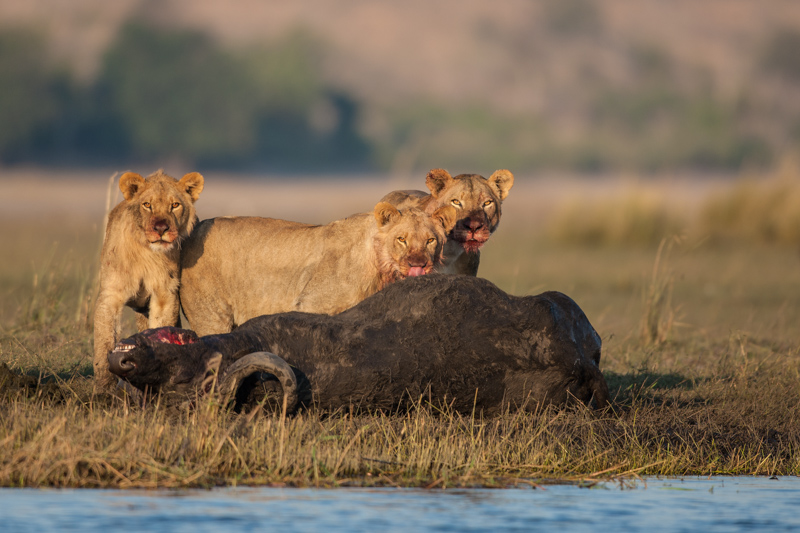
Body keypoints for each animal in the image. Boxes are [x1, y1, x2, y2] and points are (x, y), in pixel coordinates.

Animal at [93, 169, 204, 390]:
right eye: (147, 205)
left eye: (175, 205)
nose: (161, 228)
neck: (147, 253)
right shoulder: (111, 294)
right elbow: (104, 339)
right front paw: (103, 386)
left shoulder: (165, 294)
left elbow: (159, 329)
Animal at [179, 202, 457, 336]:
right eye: (401, 239)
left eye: (430, 240)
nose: (418, 264)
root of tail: (196, 229)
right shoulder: (311, 304)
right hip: (212, 316)